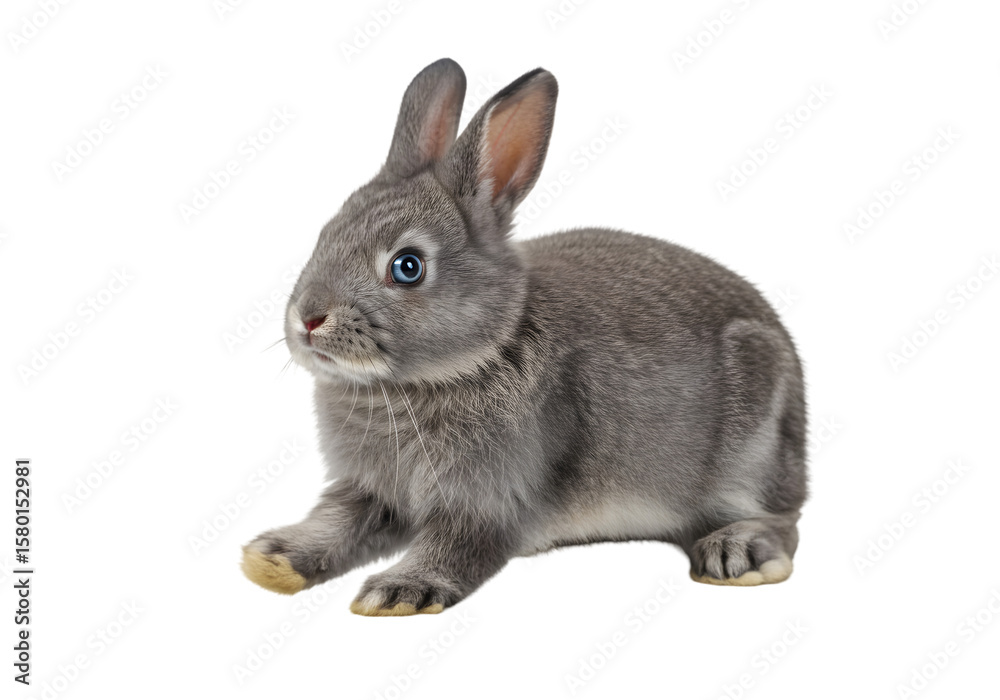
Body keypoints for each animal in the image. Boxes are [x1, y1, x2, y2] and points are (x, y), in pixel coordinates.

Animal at [241, 58, 807, 616]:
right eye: (325, 235)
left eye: (407, 266)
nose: (308, 319)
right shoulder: (370, 491)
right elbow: (337, 521)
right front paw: (273, 558)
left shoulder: (490, 499)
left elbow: (455, 546)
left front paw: (399, 591)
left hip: (750, 450)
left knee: (782, 521)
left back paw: (736, 553)